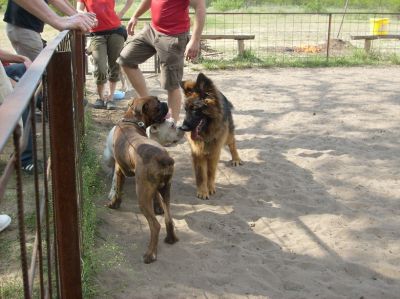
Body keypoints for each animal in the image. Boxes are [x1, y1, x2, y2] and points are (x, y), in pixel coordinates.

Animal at [104, 96, 178, 264]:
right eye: (157, 104)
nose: (165, 103)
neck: (131, 121)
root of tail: (164, 158)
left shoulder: (119, 169)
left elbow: (117, 189)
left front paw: (114, 204)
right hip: (166, 191)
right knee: (169, 219)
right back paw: (171, 239)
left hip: (142, 196)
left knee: (155, 226)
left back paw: (150, 254)